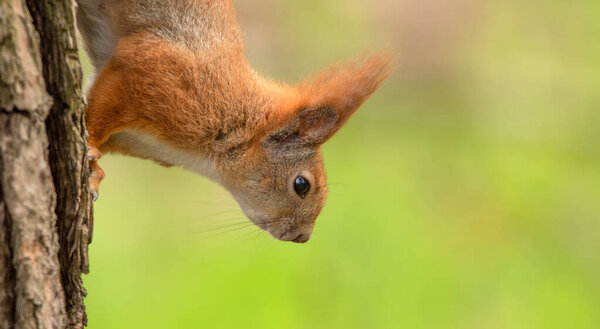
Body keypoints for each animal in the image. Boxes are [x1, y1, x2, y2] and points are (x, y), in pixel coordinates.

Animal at [76, 0, 394, 241]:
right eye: (302, 185)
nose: (303, 237)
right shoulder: (152, 72)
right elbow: (101, 113)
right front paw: (90, 150)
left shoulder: (133, 138)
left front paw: (96, 171)